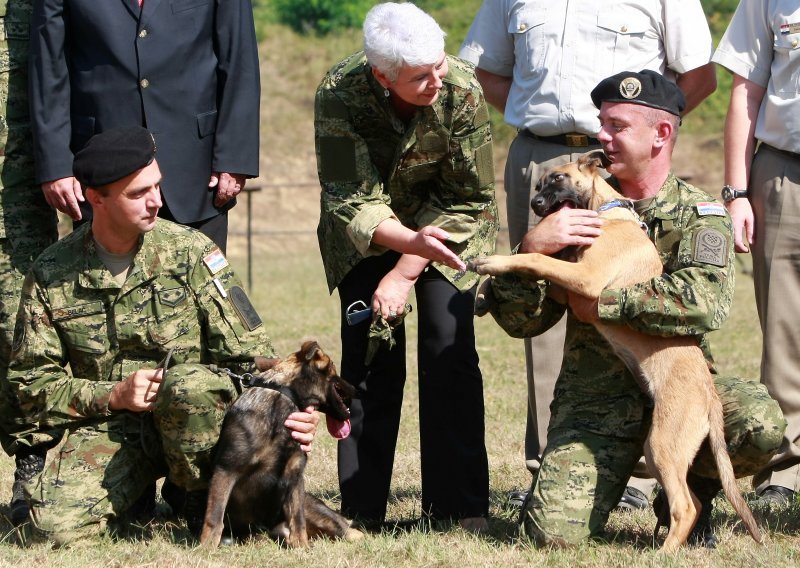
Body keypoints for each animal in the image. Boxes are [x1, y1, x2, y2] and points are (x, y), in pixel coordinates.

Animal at [7, 127, 318, 544]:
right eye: (140, 191)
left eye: (152, 187)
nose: (155, 204)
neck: (118, 245)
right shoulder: (35, 282)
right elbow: (35, 375)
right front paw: (130, 390)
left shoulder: (206, 256)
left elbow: (239, 356)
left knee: (188, 385)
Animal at [200, 340, 362, 548]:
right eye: (333, 369)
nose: (358, 391)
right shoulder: (226, 470)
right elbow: (214, 517)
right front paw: (206, 548)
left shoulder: (295, 475)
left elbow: (298, 520)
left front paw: (302, 547)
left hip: (323, 516)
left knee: (352, 532)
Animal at [478, 69, 784, 548]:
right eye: (540, 184)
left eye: (558, 179)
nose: (535, 205)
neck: (606, 211)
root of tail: (709, 398)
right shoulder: (567, 284)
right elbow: (536, 264)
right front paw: (481, 292)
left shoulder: (585, 281)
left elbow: (533, 260)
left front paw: (491, 263)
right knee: (690, 502)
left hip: (663, 444)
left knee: (686, 505)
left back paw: (664, 551)